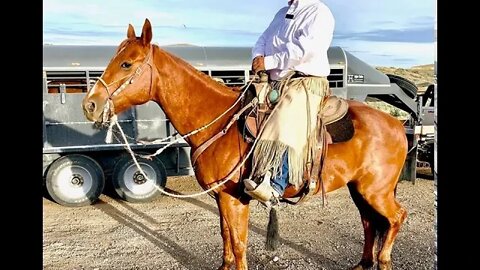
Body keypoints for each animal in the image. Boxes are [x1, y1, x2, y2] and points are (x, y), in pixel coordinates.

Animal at [82, 19, 408, 270]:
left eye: (126, 64)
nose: (90, 105)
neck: (217, 121)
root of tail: (397, 124)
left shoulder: (234, 197)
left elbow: (238, 243)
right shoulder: (220, 197)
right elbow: (226, 237)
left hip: (376, 190)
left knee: (395, 218)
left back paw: (383, 260)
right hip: (359, 188)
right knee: (369, 223)